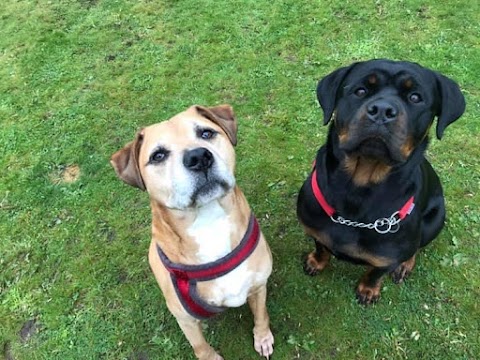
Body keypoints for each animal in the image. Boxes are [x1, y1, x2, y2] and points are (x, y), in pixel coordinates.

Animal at [109, 105, 274, 360]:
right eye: (158, 156)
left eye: (206, 133)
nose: (198, 157)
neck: (209, 222)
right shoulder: (185, 319)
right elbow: (200, 346)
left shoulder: (258, 286)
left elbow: (261, 315)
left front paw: (263, 337)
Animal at [296, 59, 464, 304]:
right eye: (360, 91)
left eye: (415, 97)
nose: (383, 110)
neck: (358, 189)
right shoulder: (315, 229)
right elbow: (321, 247)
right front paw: (315, 262)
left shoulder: (387, 258)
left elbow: (375, 272)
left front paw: (368, 290)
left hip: (436, 220)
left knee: (417, 246)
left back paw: (405, 265)